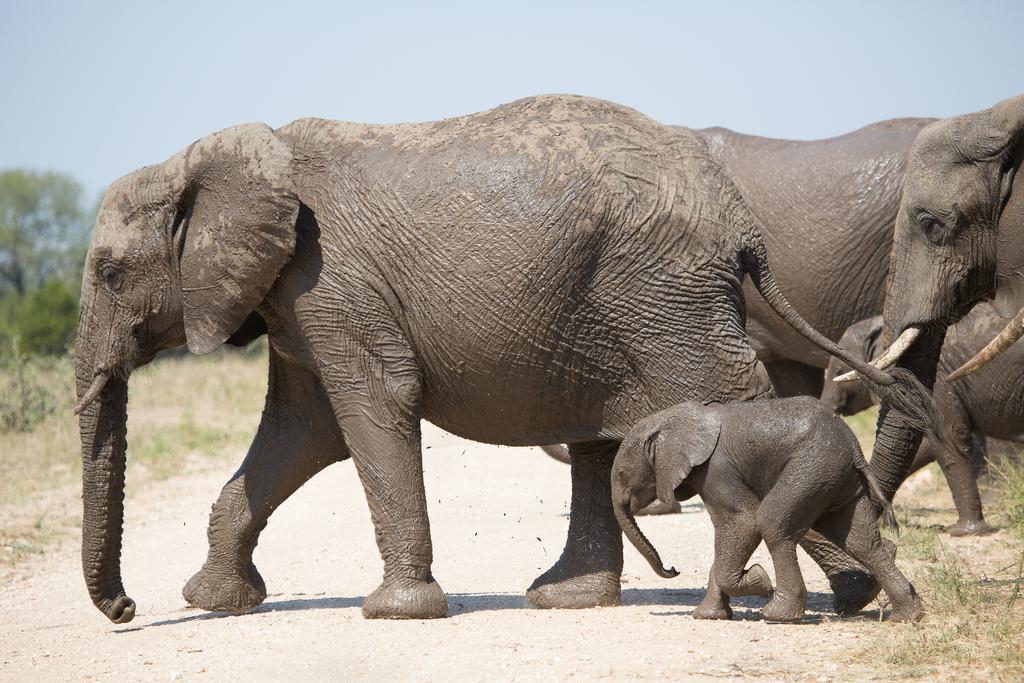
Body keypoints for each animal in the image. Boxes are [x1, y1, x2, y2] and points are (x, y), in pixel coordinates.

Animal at [610, 395, 925, 626]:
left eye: (622, 473)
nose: (673, 569)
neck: (670, 420)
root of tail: (854, 445)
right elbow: (726, 532)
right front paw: (707, 616)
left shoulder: (716, 470)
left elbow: (742, 521)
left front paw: (759, 581)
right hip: (838, 479)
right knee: (861, 541)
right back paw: (907, 617)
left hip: (811, 467)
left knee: (772, 522)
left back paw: (777, 615)